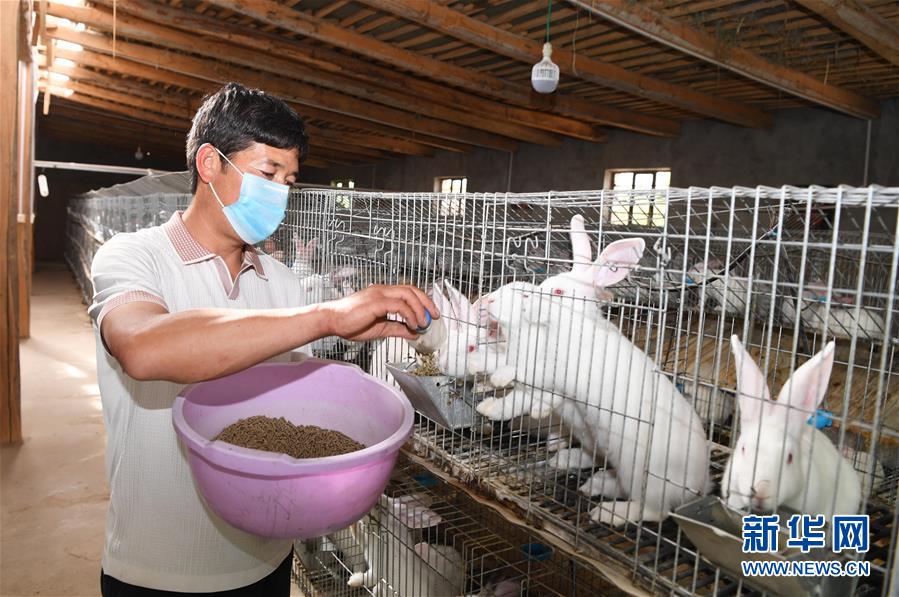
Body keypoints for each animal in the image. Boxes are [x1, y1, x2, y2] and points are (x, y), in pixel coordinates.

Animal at [472, 240, 712, 524]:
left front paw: (499, 381)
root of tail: (699, 485)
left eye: (558, 291)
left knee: (653, 509)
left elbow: (527, 381)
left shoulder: (552, 372)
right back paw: (581, 473)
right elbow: (514, 402)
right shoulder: (538, 388)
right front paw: (488, 405)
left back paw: (609, 512)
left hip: (642, 475)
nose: (488, 299)